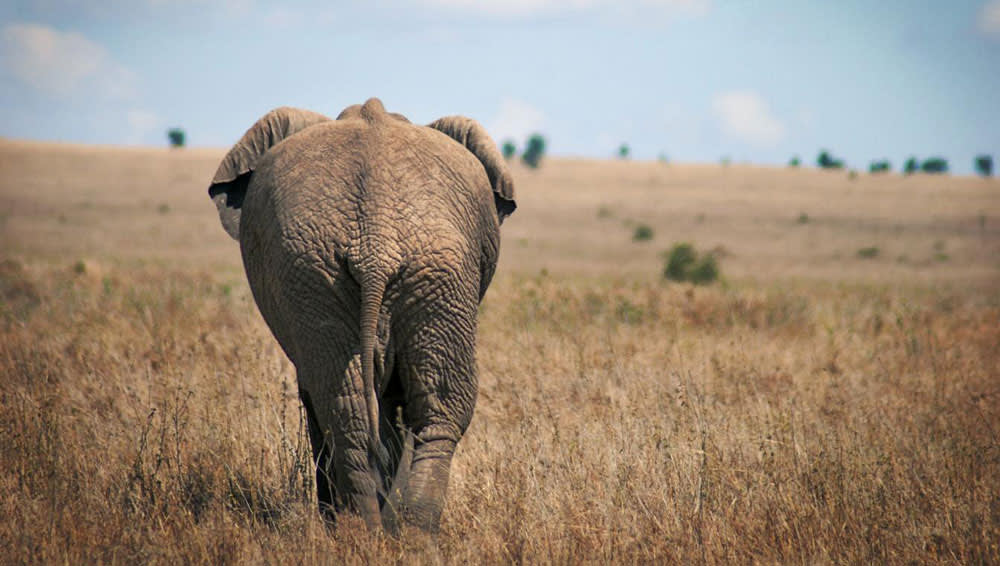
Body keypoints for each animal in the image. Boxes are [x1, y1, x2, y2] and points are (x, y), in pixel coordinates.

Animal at [204, 98, 516, 536]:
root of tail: (376, 242)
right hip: (346, 273)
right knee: (389, 406)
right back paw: (390, 533)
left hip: (392, 272)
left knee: (367, 404)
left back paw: (378, 531)